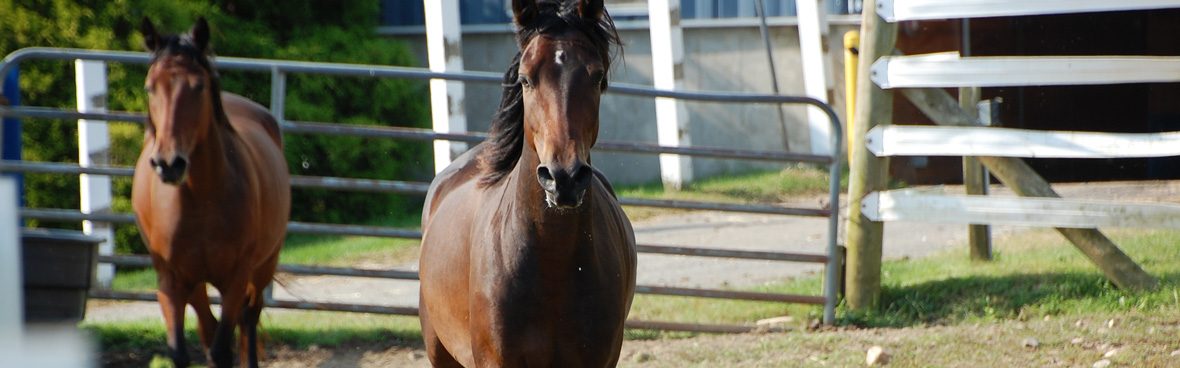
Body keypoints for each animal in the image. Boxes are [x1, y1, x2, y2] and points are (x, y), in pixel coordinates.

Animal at [131, 17, 290, 368]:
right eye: (150, 87)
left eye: (199, 86)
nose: (169, 163)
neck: (199, 199)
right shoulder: (171, 282)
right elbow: (181, 350)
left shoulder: (236, 278)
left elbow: (222, 348)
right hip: (197, 284)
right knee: (209, 326)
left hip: (264, 265)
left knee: (248, 320)